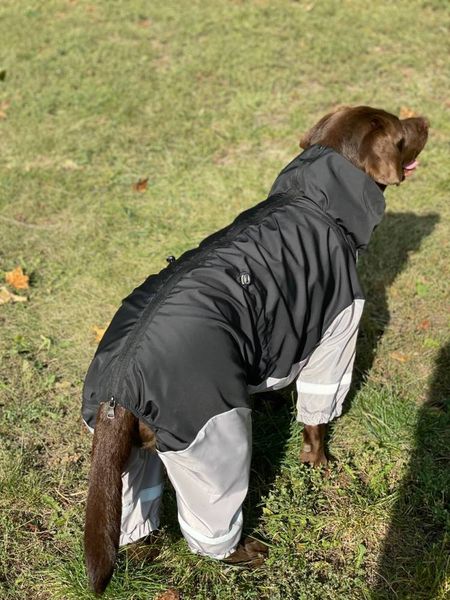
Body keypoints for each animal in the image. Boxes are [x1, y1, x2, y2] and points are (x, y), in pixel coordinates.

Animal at [81, 105, 428, 592]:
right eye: (402, 132)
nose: (427, 120)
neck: (314, 197)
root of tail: (120, 385)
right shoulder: (336, 330)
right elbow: (317, 418)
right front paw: (320, 464)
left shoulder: (289, 332)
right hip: (211, 440)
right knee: (210, 525)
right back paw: (246, 552)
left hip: (124, 460)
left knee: (133, 517)